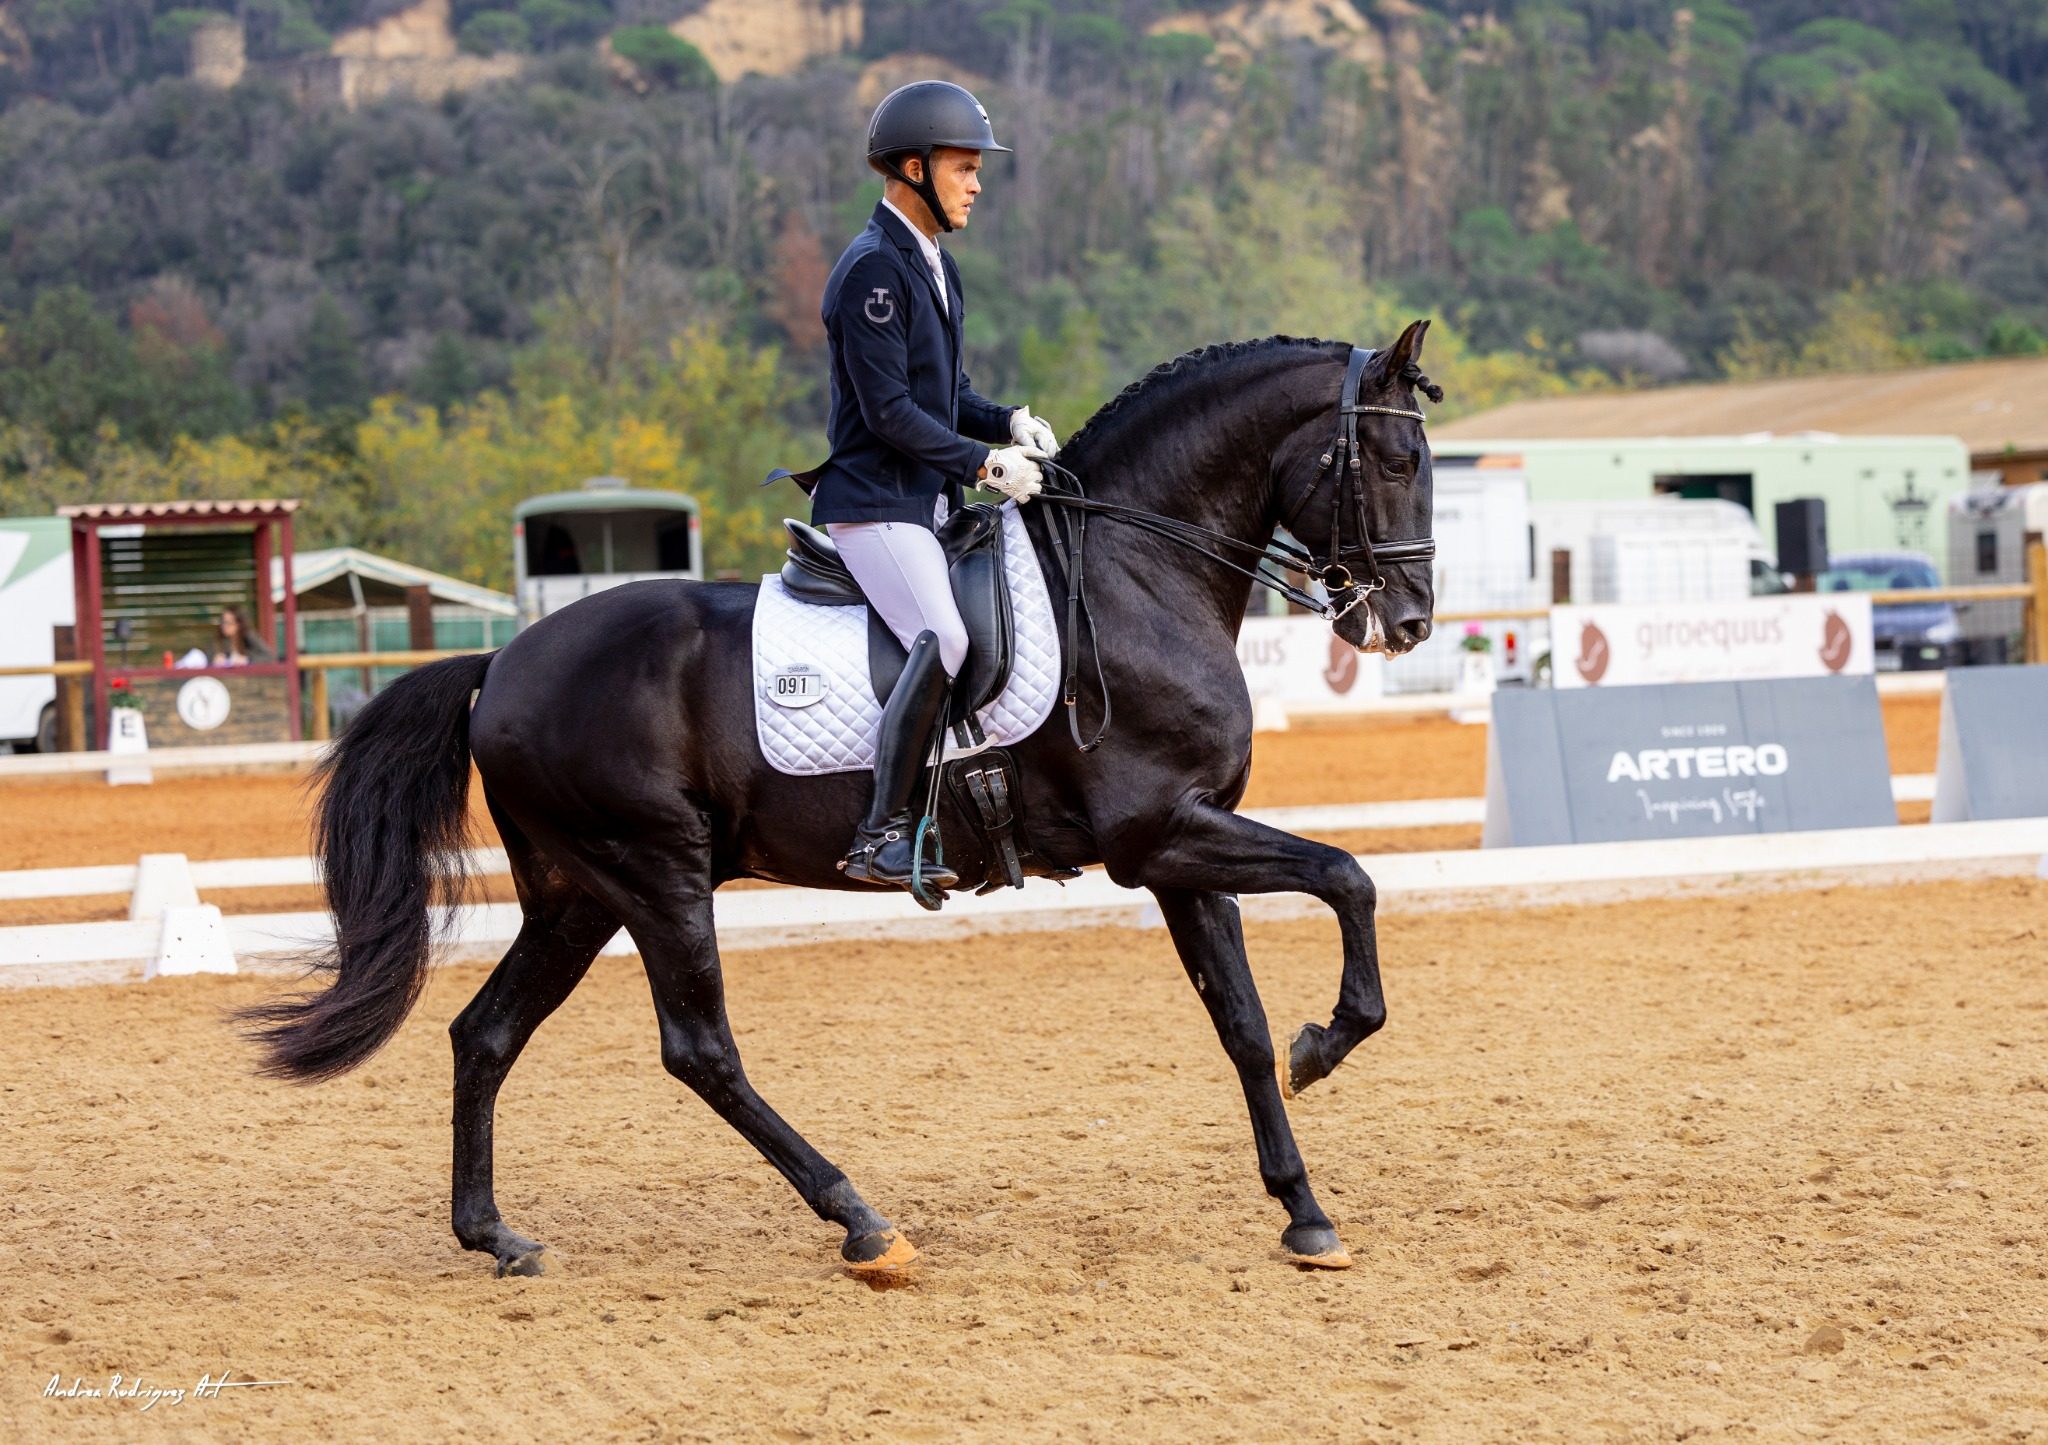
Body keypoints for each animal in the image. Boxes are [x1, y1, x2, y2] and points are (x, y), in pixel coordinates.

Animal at [238, 323, 1442, 1277]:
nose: (1410, 620)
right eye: (1392, 457)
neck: (1134, 573)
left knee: (485, 1032)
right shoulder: (1162, 835)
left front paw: (1303, 1207)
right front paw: (1329, 1041)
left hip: (577, 893)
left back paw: (495, 1235)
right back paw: (861, 1220)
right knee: (699, 1048)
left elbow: (1240, 1021)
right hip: (655, 872)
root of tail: (502, 661)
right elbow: (1349, 876)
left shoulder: (1181, 849)